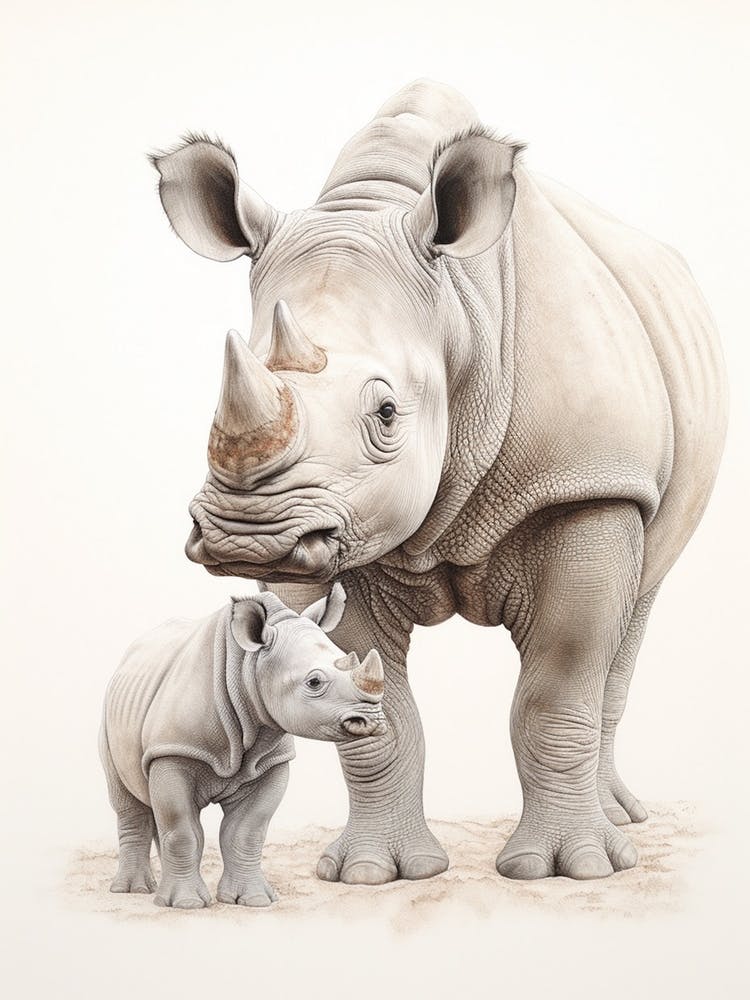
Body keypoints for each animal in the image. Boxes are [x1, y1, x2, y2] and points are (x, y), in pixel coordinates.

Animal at [100, 584, 385, 908]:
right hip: (109, 715)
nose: (373, 721)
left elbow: (246, 831)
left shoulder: (270, 761)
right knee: (128, 803)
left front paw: (254, 900)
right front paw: (188, 904)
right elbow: (182, 830)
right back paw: (134, 891)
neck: (249, 666)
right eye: (314, 682)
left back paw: (158, 889)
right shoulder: (172, 750)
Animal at [151, 79, 728, 884]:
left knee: (635, 607)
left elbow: (558, 690)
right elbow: (378, 710)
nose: (248, 538)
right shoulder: (345, 527)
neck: (458, 310)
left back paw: (618, 827)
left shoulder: (590, 483)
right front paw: (375, 873)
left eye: (387, 413)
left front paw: (568, 869)